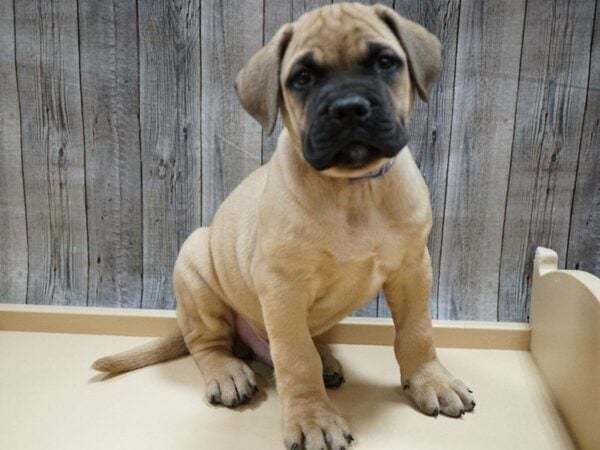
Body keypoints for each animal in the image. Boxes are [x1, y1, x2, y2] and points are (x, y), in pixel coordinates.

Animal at [94, 3, 476, 450]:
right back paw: (228, 373)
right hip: (196, 267)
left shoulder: (412, 269)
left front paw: (431, 381)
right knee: (206, 342)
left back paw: (325, 360)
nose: (348, 107)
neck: (353, 190)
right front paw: (313, 418)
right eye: (302, 78)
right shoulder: (283, 288)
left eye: (385, 62)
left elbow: (417, 332)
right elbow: (295, 358)